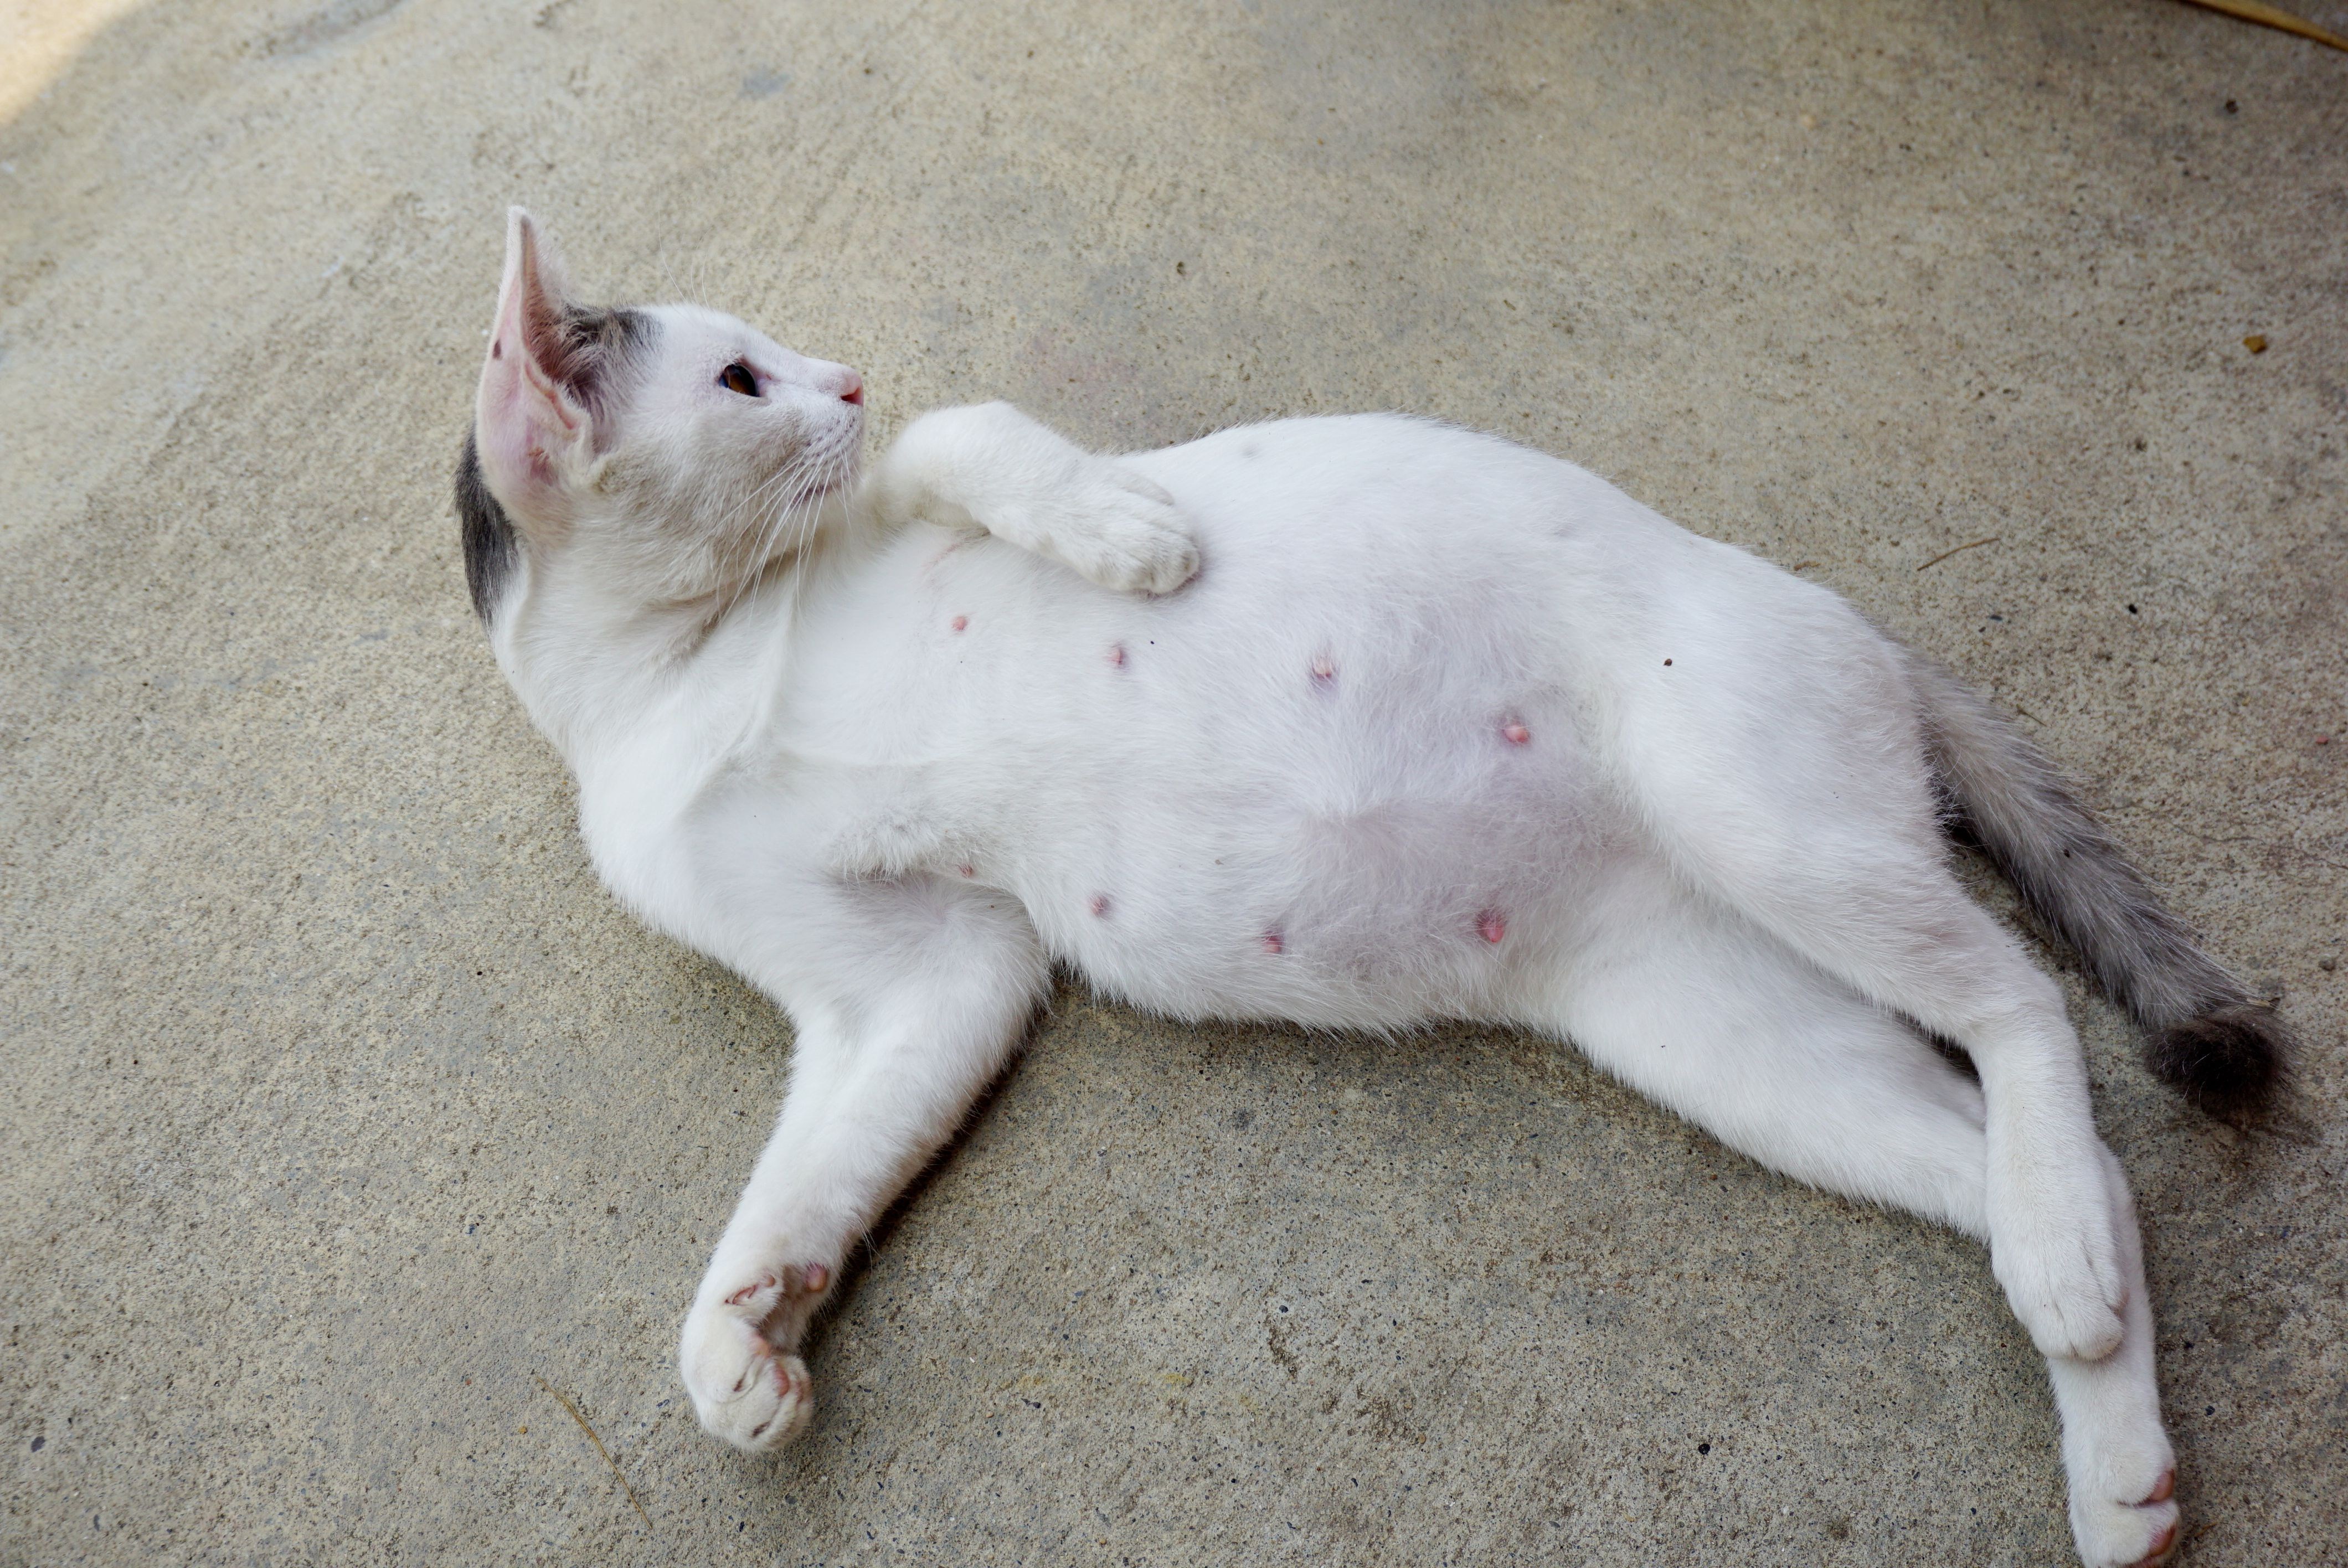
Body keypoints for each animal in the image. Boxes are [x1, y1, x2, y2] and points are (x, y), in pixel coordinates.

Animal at [448, 211, 2282, 1568]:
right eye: (740, 375)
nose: (844, 380)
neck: (683, 678)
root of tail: (1861, 632)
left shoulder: (916, 503)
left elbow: (978, 433)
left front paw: (1134, 537)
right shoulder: (922, 977)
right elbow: (810, 1176)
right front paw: (746, 1337)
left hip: (1761, 817)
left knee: (2023, 1003)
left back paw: (2064, 1270)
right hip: (1725, 1029)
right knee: (2057, 1159)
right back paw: (2105, 1412)